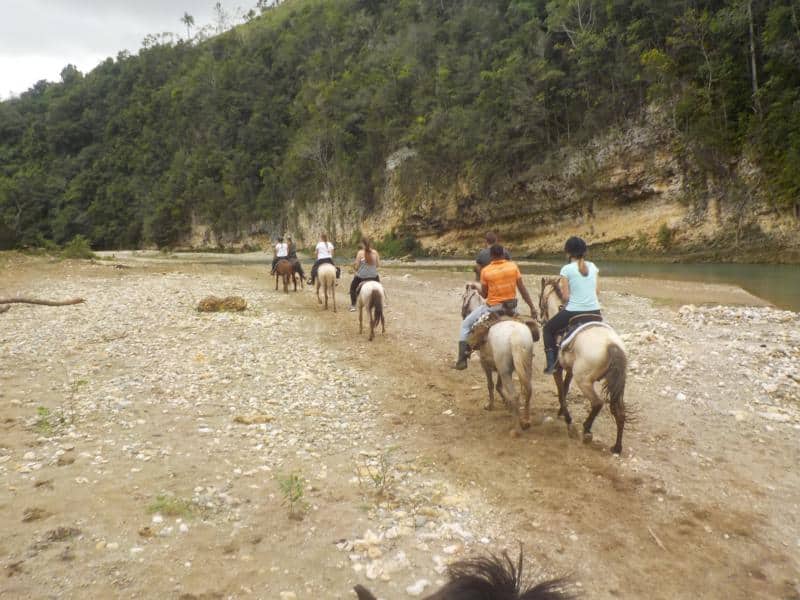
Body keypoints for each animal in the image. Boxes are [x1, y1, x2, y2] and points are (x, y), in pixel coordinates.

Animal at [461, 282, 535, 434]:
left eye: (463, 297)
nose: (463, 314)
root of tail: (515, 337)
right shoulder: (501, 367)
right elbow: (499, 386)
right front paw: (506, 404)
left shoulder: (485, 364)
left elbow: (490, 385)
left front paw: (490, 405)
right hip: (525, 365)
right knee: (528, 390)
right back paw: (526, 421)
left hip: (506, 370)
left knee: (515, 395)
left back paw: (516, 430)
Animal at [539, 277, 628, 454]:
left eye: (540, 298)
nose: (539, 317)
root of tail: (611, 345)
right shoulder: (569, 370)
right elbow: (565, 388)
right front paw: (561, 412)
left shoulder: (557, 370)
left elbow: (561, 391)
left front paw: (567, 419)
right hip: (616, 383)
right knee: (619, 411)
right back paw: (616, 447)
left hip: (584, 381)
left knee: (597, 403)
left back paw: (586, 430)